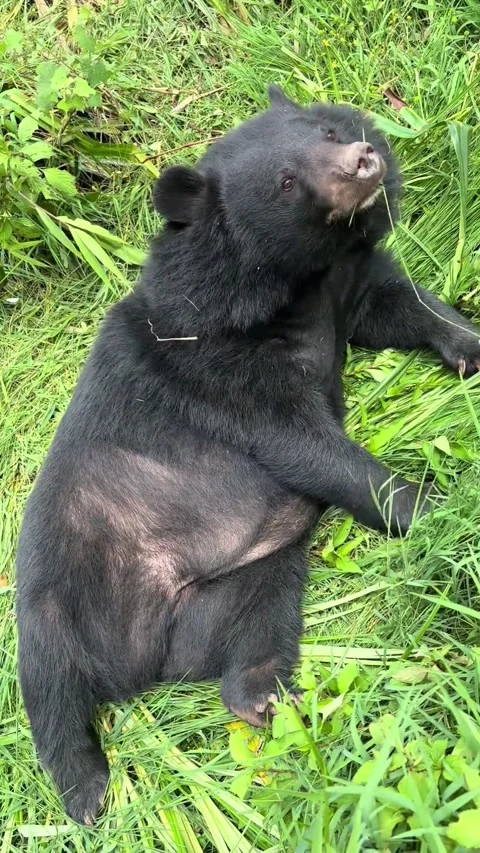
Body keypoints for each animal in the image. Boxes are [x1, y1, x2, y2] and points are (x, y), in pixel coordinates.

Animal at [16, 84, 480, 825]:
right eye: (286, 183)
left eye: (327, 131)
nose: (365, 159)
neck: (302, 277)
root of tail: (144, 661)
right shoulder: (214, 364)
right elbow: (304, 442)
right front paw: (439, 508)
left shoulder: (354, 283)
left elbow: (408, 307)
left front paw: (470, 349)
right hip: (53, 586)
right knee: (52, 686)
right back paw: (86, 792)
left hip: (255, 577)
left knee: (255, 635)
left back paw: (264, 699)